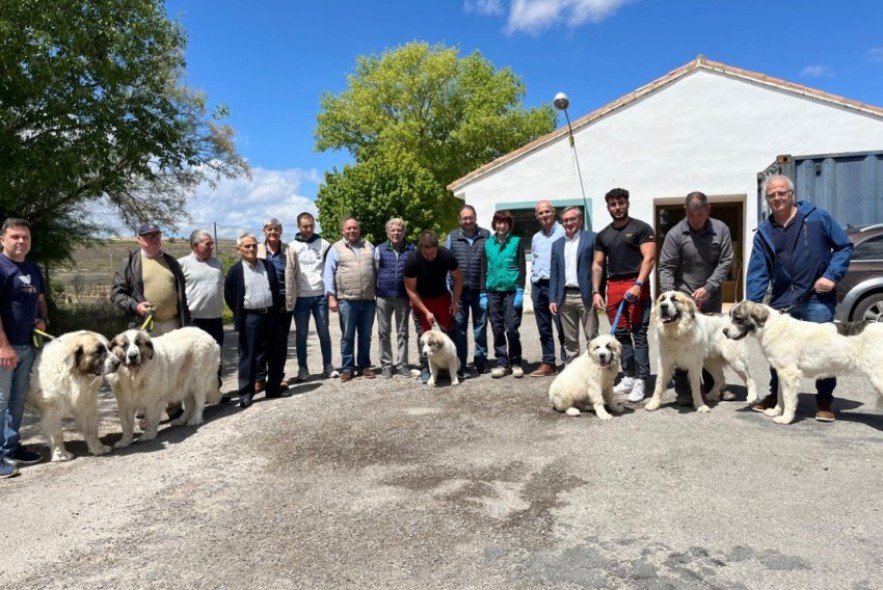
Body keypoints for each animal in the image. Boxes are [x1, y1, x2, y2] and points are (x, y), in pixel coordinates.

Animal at [25, 332, 121, 462]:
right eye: (98, 352)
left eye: (110, 348)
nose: (118, 362)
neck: (75, 374)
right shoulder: (51, 410)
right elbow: (57, 435)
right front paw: (61, 455)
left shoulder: (86, 404)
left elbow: (91, 429)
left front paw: (97, 448)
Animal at [720, 300, 883, 426]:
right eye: (730, 317)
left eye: (738, 318)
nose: (724, 331)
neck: (770, 327)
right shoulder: (782, 373)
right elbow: (780, 396)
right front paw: (776, 412)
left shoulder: (790, 374)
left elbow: (788, 399)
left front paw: (786, 419)